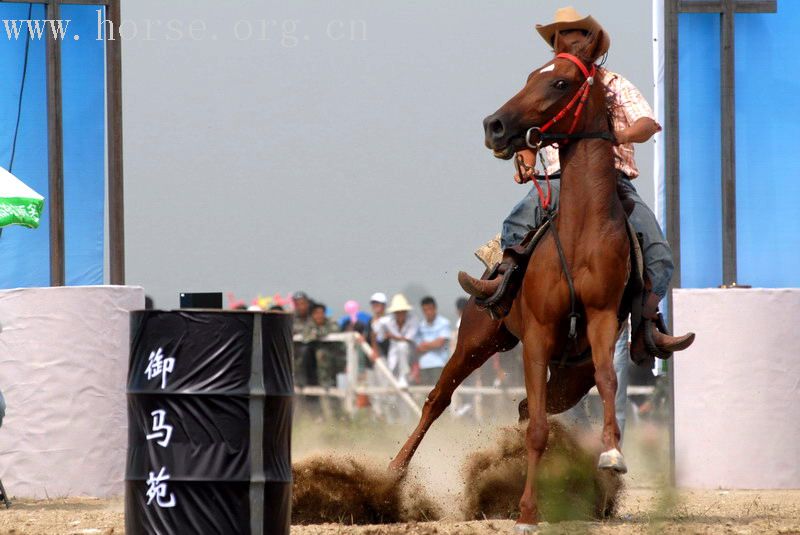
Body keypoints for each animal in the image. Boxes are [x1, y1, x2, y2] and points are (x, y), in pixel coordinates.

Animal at [390, 33, 628, 532]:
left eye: (560, 81)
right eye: (531, 75)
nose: (495, 126)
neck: (579, 233)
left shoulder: (600, 321)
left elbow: (608, 380)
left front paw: (612, 455)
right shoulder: (536, 336)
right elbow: (537, 428)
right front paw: (527, 512)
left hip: (569, 377)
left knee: (529, 407)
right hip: (478, 339)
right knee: (438, 399)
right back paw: (393, 471)